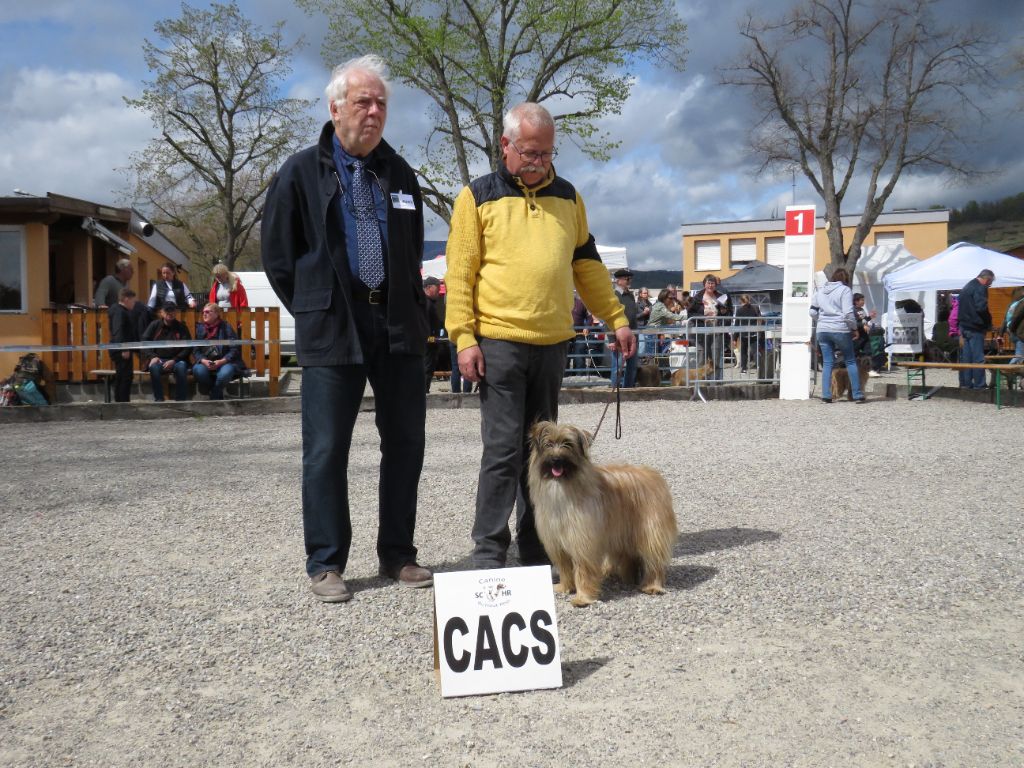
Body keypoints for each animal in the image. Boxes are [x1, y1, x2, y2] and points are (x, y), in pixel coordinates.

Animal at [528, 421, 679, 606]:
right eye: (548, 444)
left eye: (567, 444)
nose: (556, 460)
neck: (563, 485)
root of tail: (654, 475)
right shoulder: (557, 543)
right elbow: (564, 567)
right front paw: (565, 587)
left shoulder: (582, 542)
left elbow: (583, 570)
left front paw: (582, 598)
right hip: (623, 531)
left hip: (650, 531)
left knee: (654, 560)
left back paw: (652, 586)